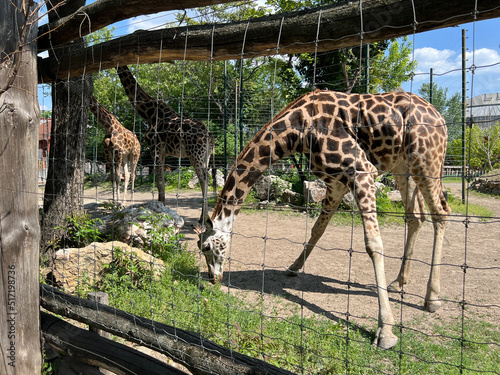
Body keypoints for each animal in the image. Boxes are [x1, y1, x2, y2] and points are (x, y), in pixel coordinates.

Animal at [196, 89, 454, 352]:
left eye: (206, 247)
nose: (213, 279)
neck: (298, 131)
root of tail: (439, 116)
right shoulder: (336, 183)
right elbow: (317, 229)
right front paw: (293, 267)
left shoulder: (362, 172)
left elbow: (373, 244)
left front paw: (386, 331)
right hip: (403, 166)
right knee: (416, 216)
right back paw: (399, 282)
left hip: (427, 161)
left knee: (441, 212)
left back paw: (432, 299)